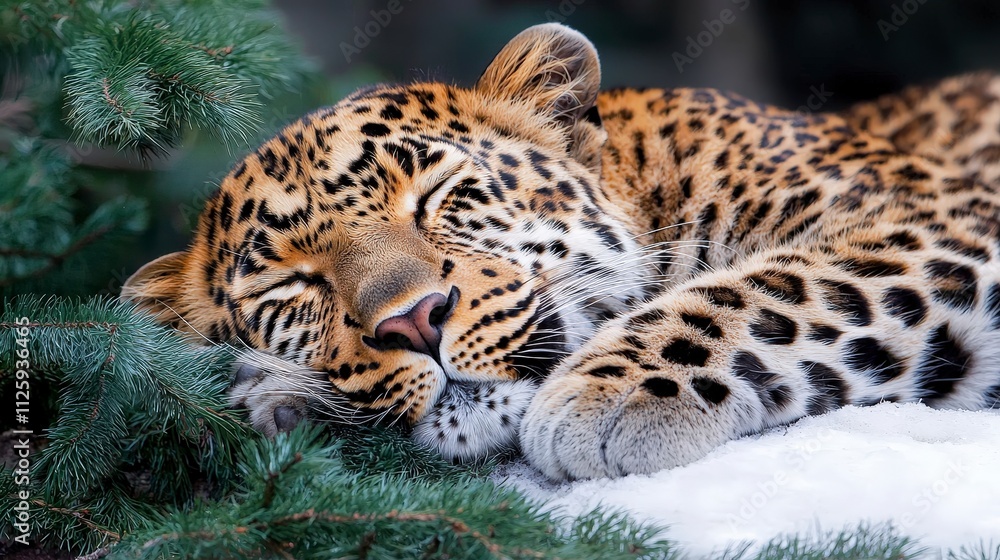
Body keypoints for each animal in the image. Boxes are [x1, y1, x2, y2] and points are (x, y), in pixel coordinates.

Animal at [122, 23, 1000, 481]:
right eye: (293, 286)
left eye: (438, 197)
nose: (414, 322)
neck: (658, 176)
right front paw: (282, 397)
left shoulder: (942, 209)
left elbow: (777, 288)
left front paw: (613, 394)